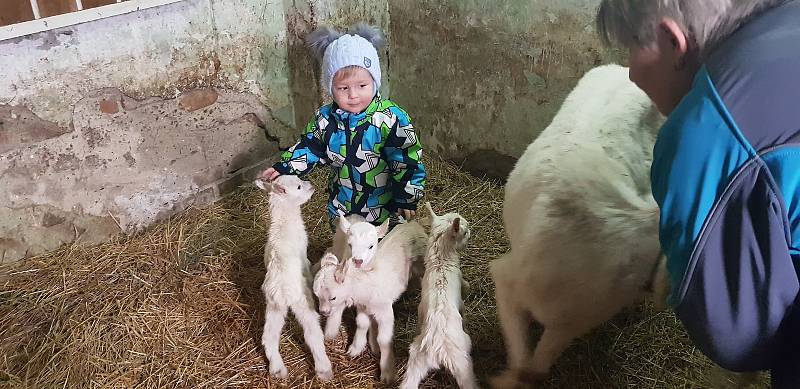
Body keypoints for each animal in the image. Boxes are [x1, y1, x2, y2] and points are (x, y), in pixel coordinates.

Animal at [256, 175, 332, 378]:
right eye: (298, 187)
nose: (311, 185)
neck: (284, 222)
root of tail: (283, 292)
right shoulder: (303, 256)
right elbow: (308, 266)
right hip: (303, 303)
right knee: (312, 333)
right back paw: (324, 369)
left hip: (273, 306)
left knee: (269, 336)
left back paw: (277, 370)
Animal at [398, 203, 476, 388]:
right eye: (464, 232)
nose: (471, 230)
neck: (441, 260)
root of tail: (437, 349)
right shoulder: (460, 289)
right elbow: (465, 292)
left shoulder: (421, 311)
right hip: (461, 360)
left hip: (416, 357)